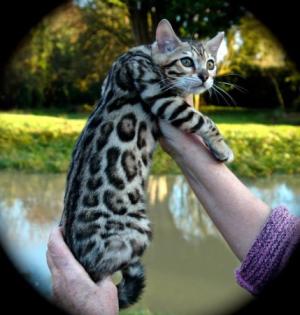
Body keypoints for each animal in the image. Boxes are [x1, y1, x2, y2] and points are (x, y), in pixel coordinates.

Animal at [61, 19, 233, 308]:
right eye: (186, 61)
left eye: (210, 63)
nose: (205, 77)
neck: (143, 52)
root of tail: (80, 258)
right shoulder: (159, 94)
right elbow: (202, 119)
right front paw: (222, 148)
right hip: (139, 230)